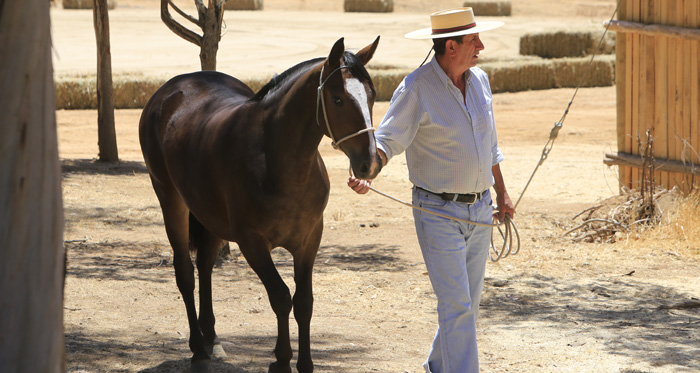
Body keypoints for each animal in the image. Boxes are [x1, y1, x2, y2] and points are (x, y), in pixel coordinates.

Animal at [139, 36, 382, 370]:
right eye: (337, 100)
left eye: (372, 95)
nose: (370, 164)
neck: (277, 158)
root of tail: (169, 91)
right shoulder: (252, 242)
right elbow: (281, 296)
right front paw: (281, 360)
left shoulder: (309, 240)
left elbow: (304, 302)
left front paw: (305, 363)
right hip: (170, 199)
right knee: (185, 273)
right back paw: (198, 350)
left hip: (209, 213)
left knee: (205, 265)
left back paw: (211, 339)